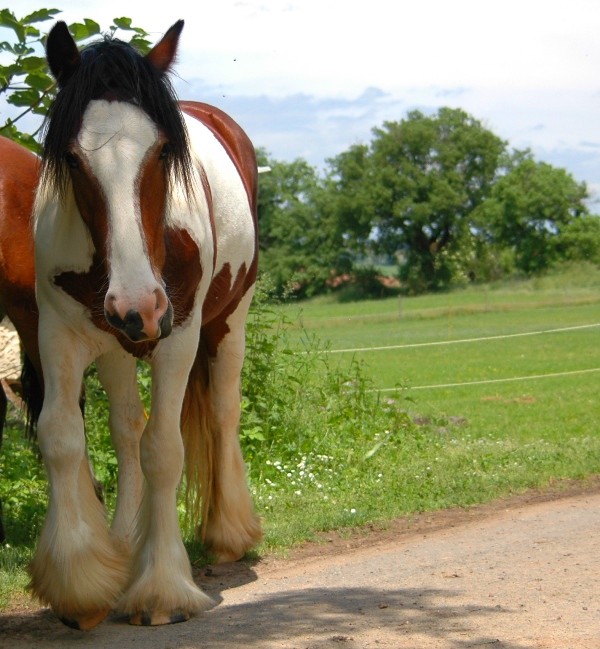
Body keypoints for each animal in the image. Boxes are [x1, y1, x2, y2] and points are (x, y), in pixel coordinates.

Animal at [20, 19, 262, 628]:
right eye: (73, 159)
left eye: (161, 151)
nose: (139, 306)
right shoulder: (58, 333)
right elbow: (64, 436)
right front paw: (81, 581)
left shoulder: (178, 338)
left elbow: (164, 450)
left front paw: (162, 588)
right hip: (115, 346)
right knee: (127, 428)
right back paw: (127, 543)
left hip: (229, 320)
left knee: (222, 410)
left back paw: (229, 534)